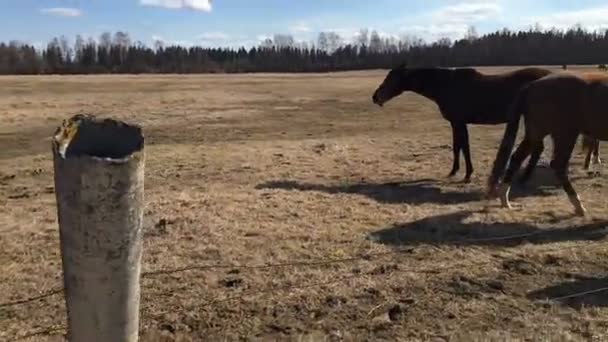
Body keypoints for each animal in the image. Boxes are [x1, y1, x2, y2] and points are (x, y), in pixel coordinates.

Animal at [372, 64, 552, 182]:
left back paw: (524, 177)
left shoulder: (459, 122)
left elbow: (463, 146)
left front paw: (466, 174)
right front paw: (455, 171)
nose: (375, 97)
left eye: (391, 78)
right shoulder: (456, 123)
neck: (446, 85)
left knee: (537, 148)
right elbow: (458, 146)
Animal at [486, 72, 608, 216]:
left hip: (536, 134)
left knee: (517, 157)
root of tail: (531, 86)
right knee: (558, 165)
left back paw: (505, 200)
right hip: (565, 134)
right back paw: (578, 205)